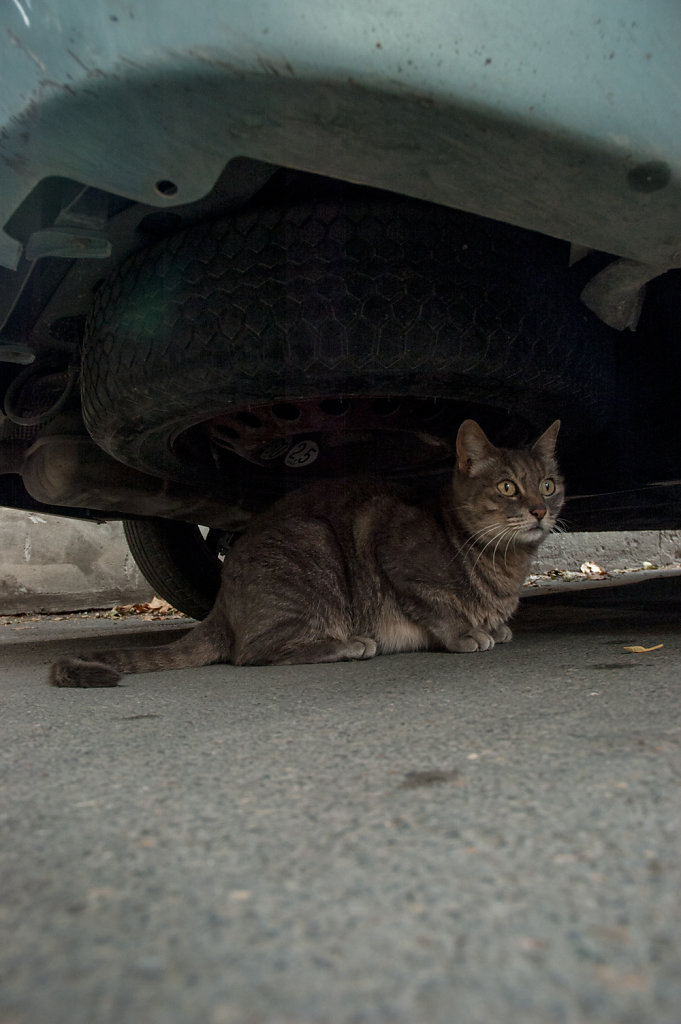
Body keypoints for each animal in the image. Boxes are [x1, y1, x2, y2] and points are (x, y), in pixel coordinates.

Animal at [49, 415, 561, 688]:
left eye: (549, 485)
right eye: (508, 486)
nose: (540, 510)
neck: (505, 562)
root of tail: (222, 606)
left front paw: (495, 626)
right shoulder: (392, 549)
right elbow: (438, 606)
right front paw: (469, 632)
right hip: (314, 548)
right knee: (253, 653)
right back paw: (348, 644)